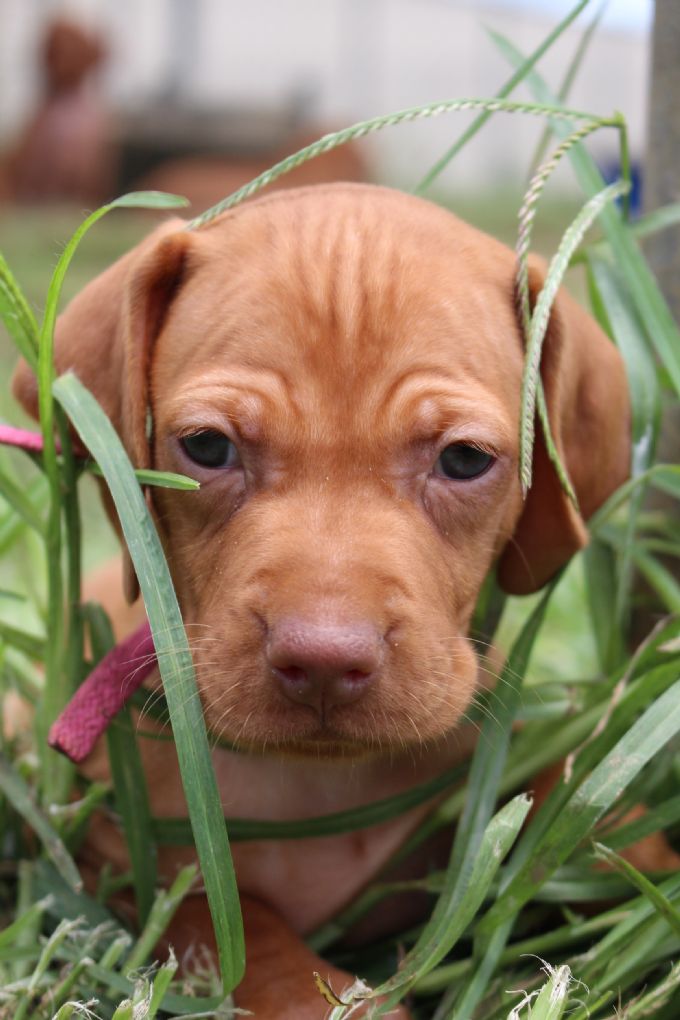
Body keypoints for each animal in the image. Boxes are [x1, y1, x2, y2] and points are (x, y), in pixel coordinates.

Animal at [12, 183, 630, 1018]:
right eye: (207, 447)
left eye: (466, 460)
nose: (327, 661)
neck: (317, 779)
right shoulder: (118, 855)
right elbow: (242, 935)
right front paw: (340, 999)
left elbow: (584, 808)